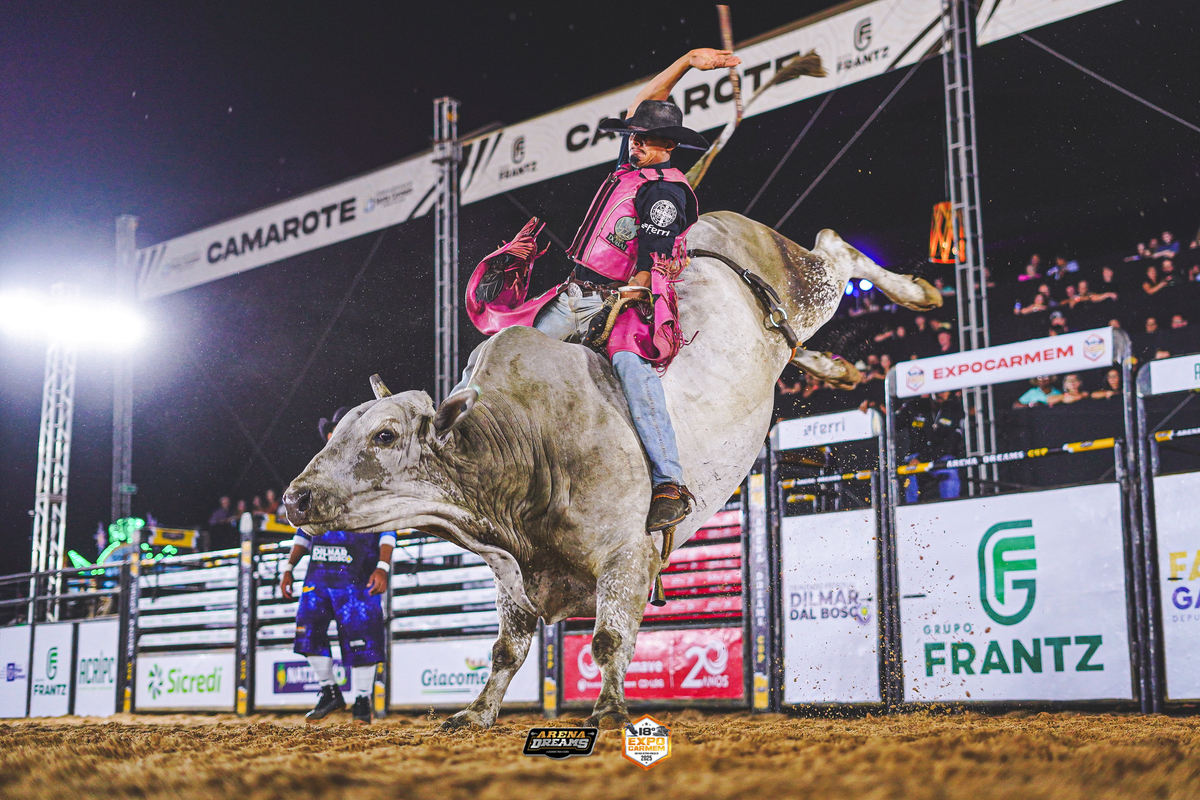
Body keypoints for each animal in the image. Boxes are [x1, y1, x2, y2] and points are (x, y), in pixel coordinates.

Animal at [282, 211, 940, 729]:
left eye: (385, 434)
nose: (295, 499)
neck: (526, 445)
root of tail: (703, 226)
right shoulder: (512, 576)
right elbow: (504, 651)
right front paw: (476, 713)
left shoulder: (627, 554)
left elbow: (607, 638)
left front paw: (610, 709)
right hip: (786, 326)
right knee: (799, 340)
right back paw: (837, 367)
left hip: (806, 286)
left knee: (835, 249)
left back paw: (917, 292)